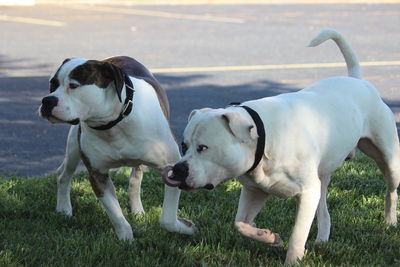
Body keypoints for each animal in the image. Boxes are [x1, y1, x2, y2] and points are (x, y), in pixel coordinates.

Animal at [38, 56, 195, 241]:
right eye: (52, 85)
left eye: (73, 85)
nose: (47, 100)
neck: (112, 125)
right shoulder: (98, 175)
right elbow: (115, 214)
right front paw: (126, 239)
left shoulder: (172, 168)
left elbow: (167, 219)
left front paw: (185, 228)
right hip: (74, 148)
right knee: (64, 174)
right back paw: (64, 208)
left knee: (135, 180)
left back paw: (137, 210)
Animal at [162, 29, 400, 266]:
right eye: (184, 145)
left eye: (203, 147)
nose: (179, 169)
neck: (265, 140)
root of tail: (357, 80)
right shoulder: (255, 190)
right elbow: (240, 224)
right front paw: (267, 236)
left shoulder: (306, 192)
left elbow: (297, 234)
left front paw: (292, 259)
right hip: (322, 177)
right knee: (323, 209)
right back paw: (322, 239)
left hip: (388, 160)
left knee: (391, 190)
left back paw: (389, 221)